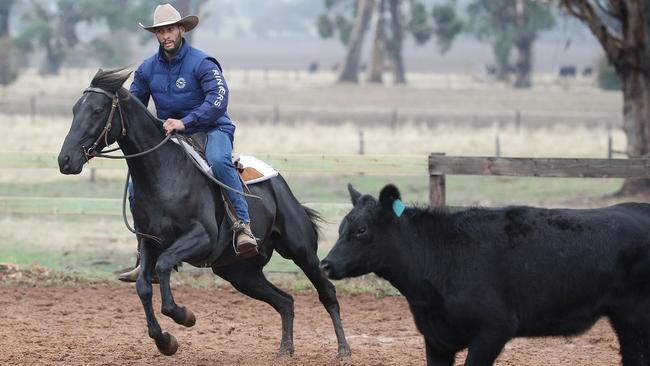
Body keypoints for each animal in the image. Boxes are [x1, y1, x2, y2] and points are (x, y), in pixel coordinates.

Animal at [56, 67, 350, 358]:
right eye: (74, 109)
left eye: (96, 110)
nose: (65, 160)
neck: (165, 173)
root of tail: (280, 186)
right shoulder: (149, 241)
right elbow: (143, 285)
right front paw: (165, 341)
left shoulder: (201, 238)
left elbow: (164, 265)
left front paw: (184, 316)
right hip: (240, 273)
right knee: (285, 300)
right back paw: (285, 349)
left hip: (301, 251)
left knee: (327, 293)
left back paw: (343, 349)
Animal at [318, 184, 648, 364]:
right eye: (342, 226)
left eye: (362, 230)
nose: (325, 264)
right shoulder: (436, 340)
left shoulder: (492, 331)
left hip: (635, 317)